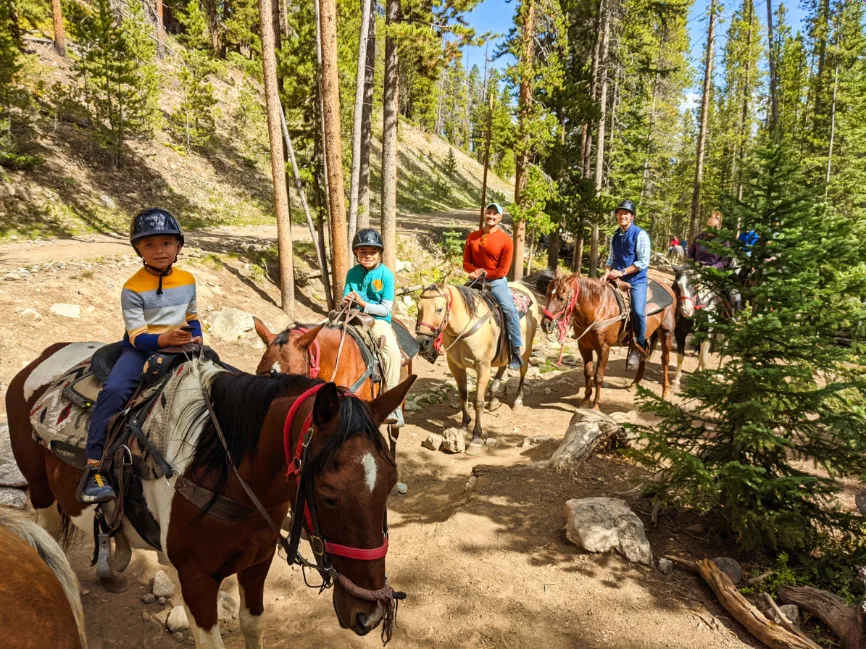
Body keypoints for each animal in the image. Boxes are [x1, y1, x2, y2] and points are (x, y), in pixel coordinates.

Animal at [410, 280, 532, 442]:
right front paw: (464, 424)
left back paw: (518, 400)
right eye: (419, 308)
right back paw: (493, 400)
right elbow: (463, 395)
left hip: (526, 350)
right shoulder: (455, 365)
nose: (422, 342)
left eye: (439, 309)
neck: (463, 330)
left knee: (523, 371)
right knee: (502, 367)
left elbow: (478, 402)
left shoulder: (483, 367)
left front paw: (476, 434)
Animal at [540, 268, 676, 410]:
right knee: (642, 354)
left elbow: (598, 376)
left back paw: (665, 392)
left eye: (561, 298)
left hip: (666, 332)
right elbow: (588, 373)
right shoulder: (583, 346)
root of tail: (668, 287)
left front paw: (596, 406)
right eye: (547, 294)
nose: (546, 324)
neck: (597, 310)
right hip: (645, 335)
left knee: (665, 360)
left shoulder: (604, 348)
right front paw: (585, 401)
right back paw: (635, 383)